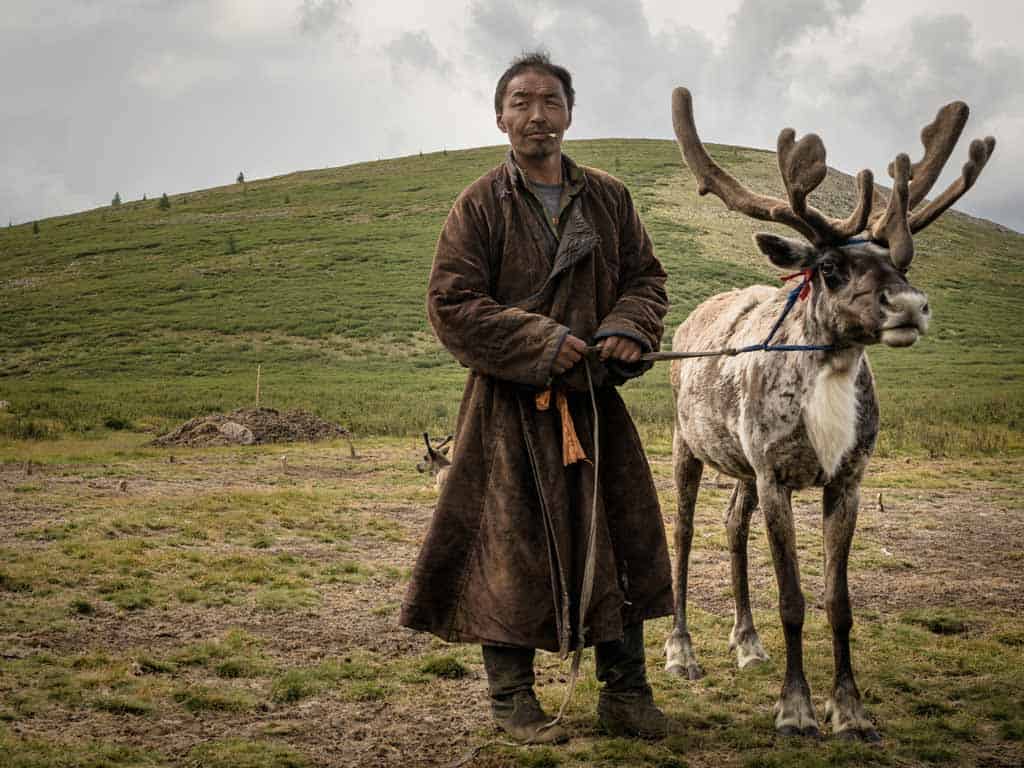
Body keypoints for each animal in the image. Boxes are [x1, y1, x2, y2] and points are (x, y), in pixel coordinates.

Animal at [662, 87, 995, 741]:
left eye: (903, 264)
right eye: (831, 268)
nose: (910, 305)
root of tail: (694, 317)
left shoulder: (846, 479)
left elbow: (839, 604)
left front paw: (851, 711)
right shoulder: (776, 477)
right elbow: (792, 599)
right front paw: (795, 710)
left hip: (743, 466)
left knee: (731, 525)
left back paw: (747, 642)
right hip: (689, 444)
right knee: (684, 533)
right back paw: (682, 652)